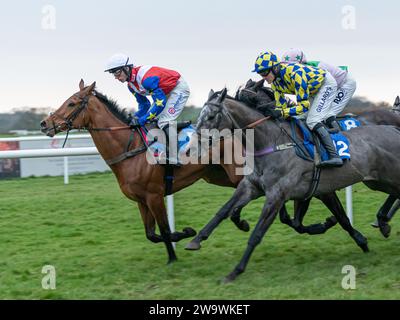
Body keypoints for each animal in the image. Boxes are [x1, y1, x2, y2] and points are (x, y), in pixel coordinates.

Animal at [189, 88, 400, 282]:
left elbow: (258, 234)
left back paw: (382, 222)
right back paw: (383, 222)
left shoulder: (279, 194)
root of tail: (393, 128)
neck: (273, 143)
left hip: (387, 178)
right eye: (199, 116)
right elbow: (223, 211)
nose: (192, 148)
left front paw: (235, 271)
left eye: (211, 116)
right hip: (377, 181)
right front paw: (196, 240)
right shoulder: (252, 186)